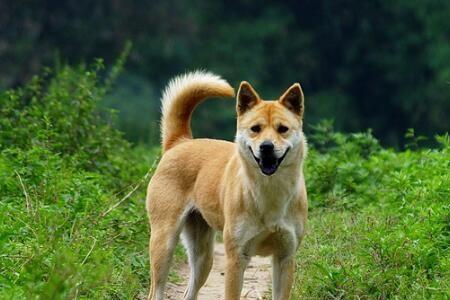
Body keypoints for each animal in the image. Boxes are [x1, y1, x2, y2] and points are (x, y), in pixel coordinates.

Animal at [146, 71, 308, 300]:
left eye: (283, 129)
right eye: (255, 129)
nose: (266, 147)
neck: (269, 192)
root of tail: (180, 142)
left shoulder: (285, 258)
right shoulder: (236, 258)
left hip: (203, 258)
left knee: (189, 292)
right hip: (164, 243)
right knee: (156, 291)